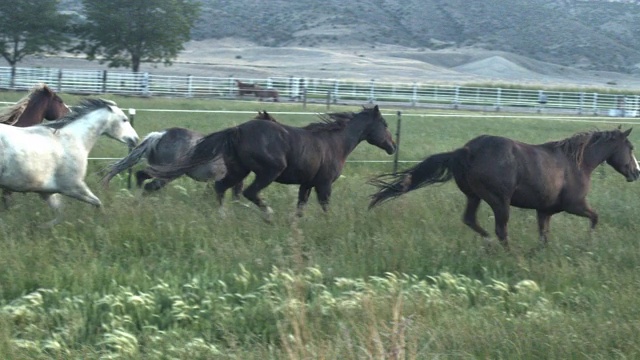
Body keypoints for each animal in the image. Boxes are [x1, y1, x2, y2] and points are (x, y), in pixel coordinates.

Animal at [0, 98, 139, 225]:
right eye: (124, 119)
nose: (136, 139)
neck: (73, 140)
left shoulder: (46, 192)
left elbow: (60, 214)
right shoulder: (74, 187)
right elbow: (97, 203)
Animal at [152, 105, 398, 221]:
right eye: (384, 124)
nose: (393, 146)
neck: (335, 143)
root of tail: (238, 130)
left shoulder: (306, 184)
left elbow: (300, 208)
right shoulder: (324, 184)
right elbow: (325, 205)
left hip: (239, 171)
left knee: (221, 187)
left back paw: (223, 216)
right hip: (268, 171)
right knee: (250, 192)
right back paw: (268, 215)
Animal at [368, 128, 640, 252]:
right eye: (630, 147)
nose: (636, 172)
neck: (577, 163)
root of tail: (465, 150)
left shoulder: (544, 211)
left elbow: (544, 235)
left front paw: (541, 252)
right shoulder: (575, 205)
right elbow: (595, 218)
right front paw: (588, 243)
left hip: (474, 196)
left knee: (471, 220)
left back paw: (489, 243)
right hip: (499, 201)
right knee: (501, 230)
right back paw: (509, 253)